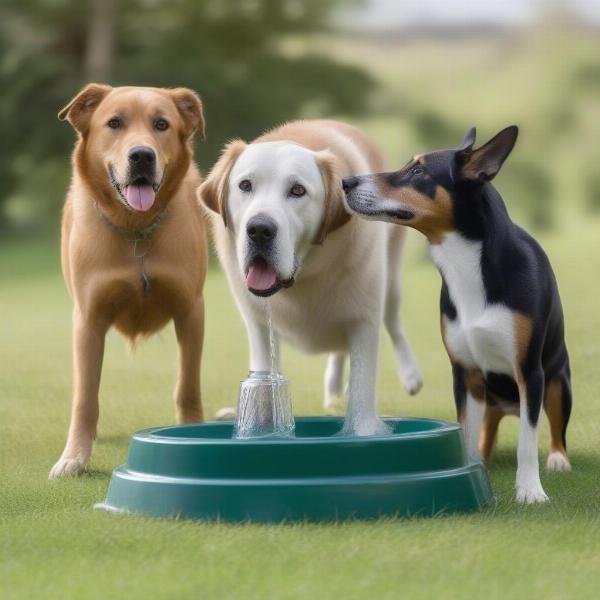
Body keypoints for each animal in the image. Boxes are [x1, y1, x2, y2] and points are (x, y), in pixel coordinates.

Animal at [49, 83, 209, 478]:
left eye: (162, 124)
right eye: (114, 123)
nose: (141, 156)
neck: (136, 228)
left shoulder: (191, 311)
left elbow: (188, 386)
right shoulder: (88, 319)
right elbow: (85, 397)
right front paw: (74, 456)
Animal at [198, 119, 422, 434]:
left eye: (297, 190)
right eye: (245, 185)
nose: (259, 229)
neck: (304, 275)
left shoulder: (364, 317)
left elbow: (362, 383)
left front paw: (363, 432)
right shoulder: (257, 321)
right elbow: (264, 374)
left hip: (391, 283)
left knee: (393, 321)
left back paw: (410, 374)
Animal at [342, 126, 572, 502]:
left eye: (418, 171)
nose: (347, 182)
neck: (467, 266)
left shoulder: (529, 372)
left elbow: (527, 441)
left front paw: (529, 490)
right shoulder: (465, 374)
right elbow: (465, 432)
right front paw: (470, 471)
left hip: (557, 383)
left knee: (555, 429)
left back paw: (557, 459)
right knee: (486, 432)